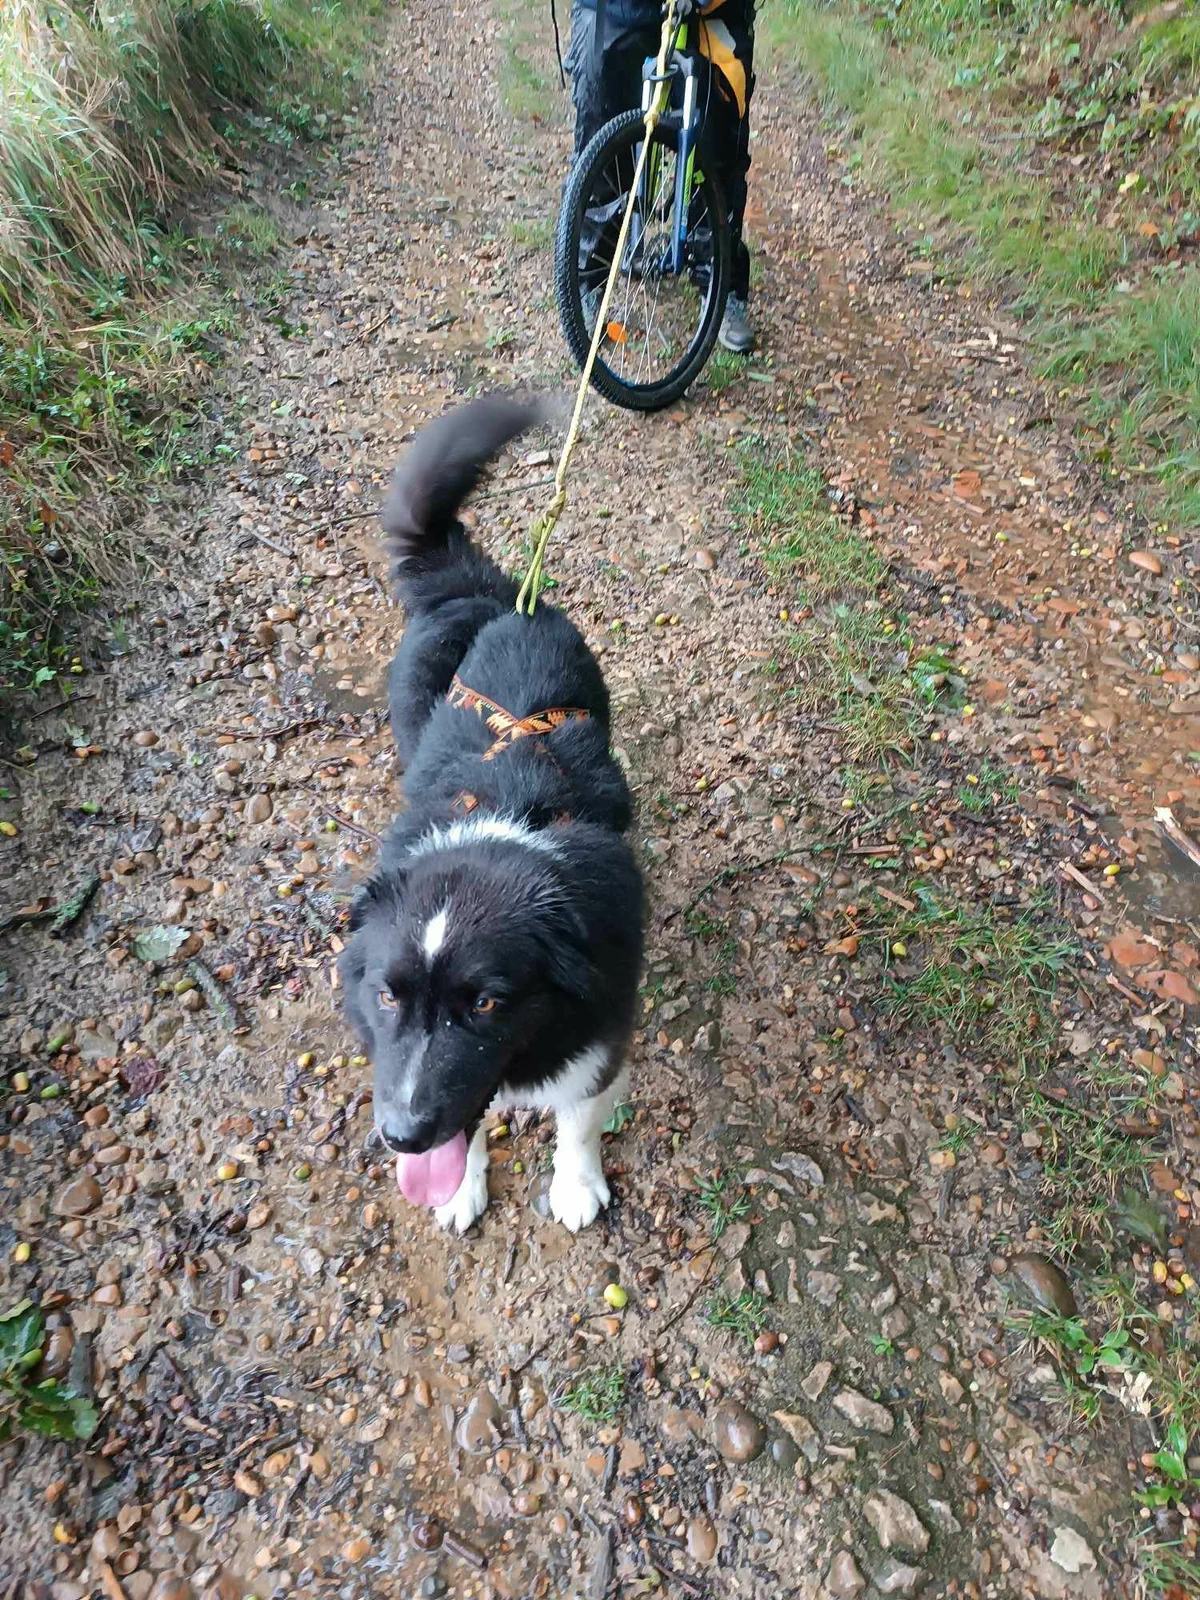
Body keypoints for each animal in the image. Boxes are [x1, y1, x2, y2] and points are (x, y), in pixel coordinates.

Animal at [339, 395, 644, 1233]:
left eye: (484, 1002)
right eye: (387, 996)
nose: (401, 1134)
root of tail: (495, 596)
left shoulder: (604, 1023)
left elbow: (578, 1118)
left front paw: (574, 1186)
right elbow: (470, 1129)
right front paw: (461, 1188)